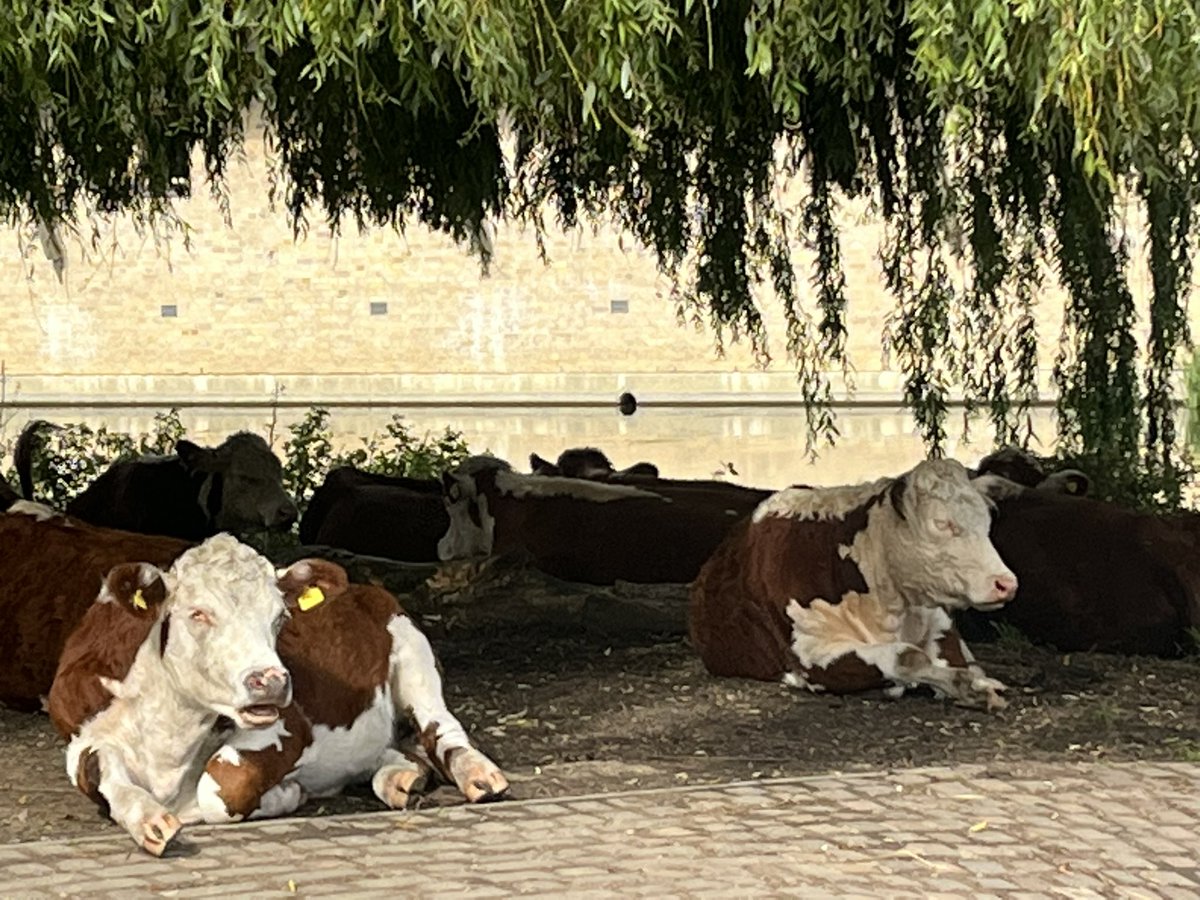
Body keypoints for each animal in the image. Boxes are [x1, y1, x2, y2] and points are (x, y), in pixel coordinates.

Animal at [54, 534, 508, 856]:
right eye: (197, 613)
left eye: (280, 617)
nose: (270, 681)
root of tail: (367, 588)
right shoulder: (79, 737)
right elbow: (105, 775)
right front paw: (149, 819)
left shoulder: (290, 726)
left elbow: (221, 787)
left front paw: (284, 794)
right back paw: (401, 778)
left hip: (414, 653)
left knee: (443, 731)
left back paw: (479, 776)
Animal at [689, 459, 1018, 709]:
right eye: (941, 523)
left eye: (987, 522)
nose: (1006, 583)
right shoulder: (812, 654)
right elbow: (909, 655)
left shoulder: (940, 626)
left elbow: (957, 661)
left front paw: (978, 685)